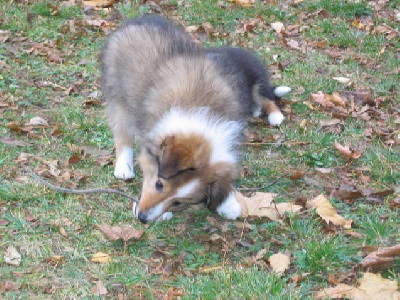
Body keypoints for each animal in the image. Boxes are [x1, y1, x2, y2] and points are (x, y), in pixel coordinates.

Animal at [100, 15, 290, 224]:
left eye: (177, 202)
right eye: (159, 184)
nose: (142, 218)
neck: (198, 111)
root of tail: (138, 19)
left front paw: (228, 204)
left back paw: (268, 113)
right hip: (118, 93)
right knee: (122, 132)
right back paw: (124, 167)